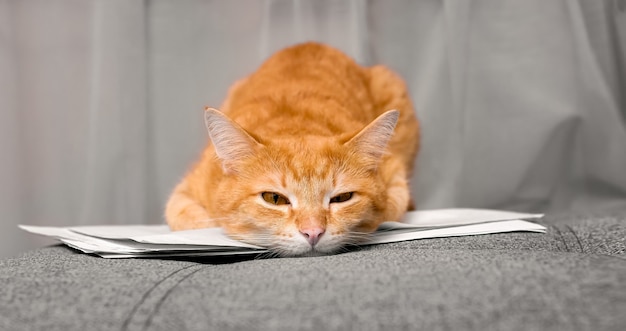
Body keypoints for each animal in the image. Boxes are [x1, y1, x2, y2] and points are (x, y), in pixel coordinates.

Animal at [166, 42, 420, 256]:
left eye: (342, 198)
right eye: (274, 199)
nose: (313, 232)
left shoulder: (395, 176)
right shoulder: (184, 193)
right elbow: (194, 220)